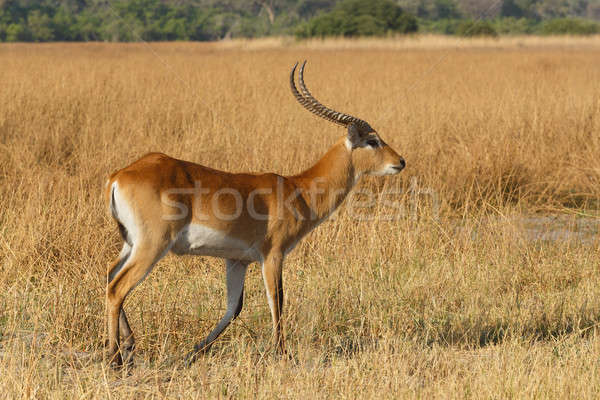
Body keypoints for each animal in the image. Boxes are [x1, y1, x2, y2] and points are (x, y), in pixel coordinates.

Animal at [105, 61, 408, 366]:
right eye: (373, 140)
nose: (401, 161)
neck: (297, 189)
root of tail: (120, 175)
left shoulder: (237, 260)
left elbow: (233, 308)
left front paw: (193, 352)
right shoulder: (273, 254)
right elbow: (277, 299)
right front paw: (282, 354)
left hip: (131, 243)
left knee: (109, 276)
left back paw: (128, 347)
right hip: (153, 245)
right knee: (117, 288)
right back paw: (114, 357)